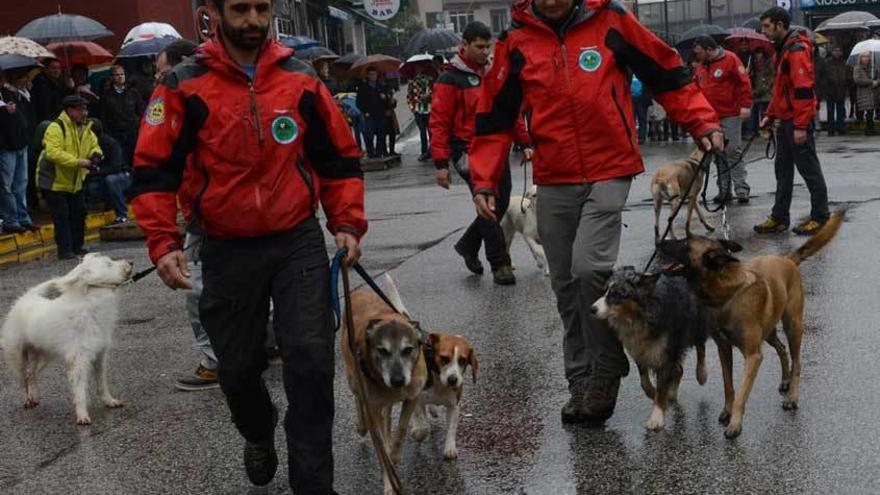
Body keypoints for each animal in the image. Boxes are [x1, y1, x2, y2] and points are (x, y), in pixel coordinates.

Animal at [0, 254, 132, 424]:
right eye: (108, 264)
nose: (130, 263)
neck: (91, 302)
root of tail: (25, 298)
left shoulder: (99, 356)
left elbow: (102, 383)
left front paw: (109, 401)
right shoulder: (79, 360)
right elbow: (80, 391)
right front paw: (82, 415)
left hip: (42, 357)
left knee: (31, 375)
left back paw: (33, 397)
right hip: (17, 357)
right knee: (22, 380)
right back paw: (27, 400)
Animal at [340, 276, 426, 495]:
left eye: (408, 349)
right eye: (382, 350)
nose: (397, 380)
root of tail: (358, 292)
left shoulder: (412, 395)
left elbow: (401, 429)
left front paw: (395, 455)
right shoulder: (373, 405)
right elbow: (381, 449)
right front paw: (389, 482)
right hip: (353, 379)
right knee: (358, 398)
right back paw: (362, 424)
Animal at [410, 334, 478, 462]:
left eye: (462, 360)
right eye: (444, 358)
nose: (453, 380)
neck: (440, 382)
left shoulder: (453, 406)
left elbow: (451, 428)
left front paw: (450, 448)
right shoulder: (417, 400)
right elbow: (424, 424)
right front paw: (418, 433)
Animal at [660, 211, 844, 440]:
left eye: (685, 243)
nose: (659, 242)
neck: (726, 294)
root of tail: (787, 259)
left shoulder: (753, 355)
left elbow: (741, 392)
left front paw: (735, 424)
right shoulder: (724, 349)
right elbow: (729, 386)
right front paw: (727, 412)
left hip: (793, 326)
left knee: (797, 362)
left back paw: (792, 397)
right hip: (769, 331)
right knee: (782, 349)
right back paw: (785, 380)